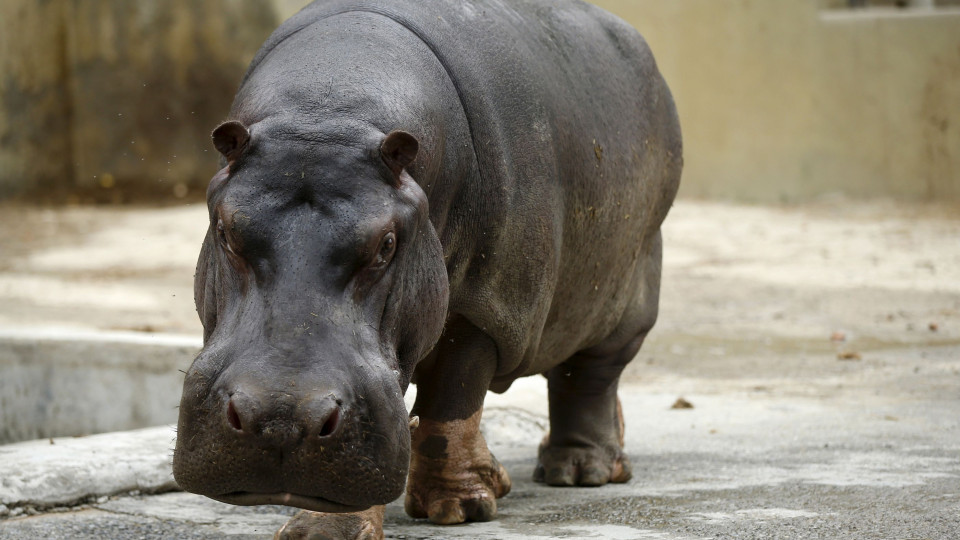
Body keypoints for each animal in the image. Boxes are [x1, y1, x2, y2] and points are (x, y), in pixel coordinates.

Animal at [172, 0, 684, 536]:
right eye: (225, 230)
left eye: (386, 245)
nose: (280, 421)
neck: (327, 112)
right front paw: (322, 532)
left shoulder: (485, 307)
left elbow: (451, 402)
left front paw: (458, 510)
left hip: (623, 293)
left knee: (588, 378)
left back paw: (581, 471)